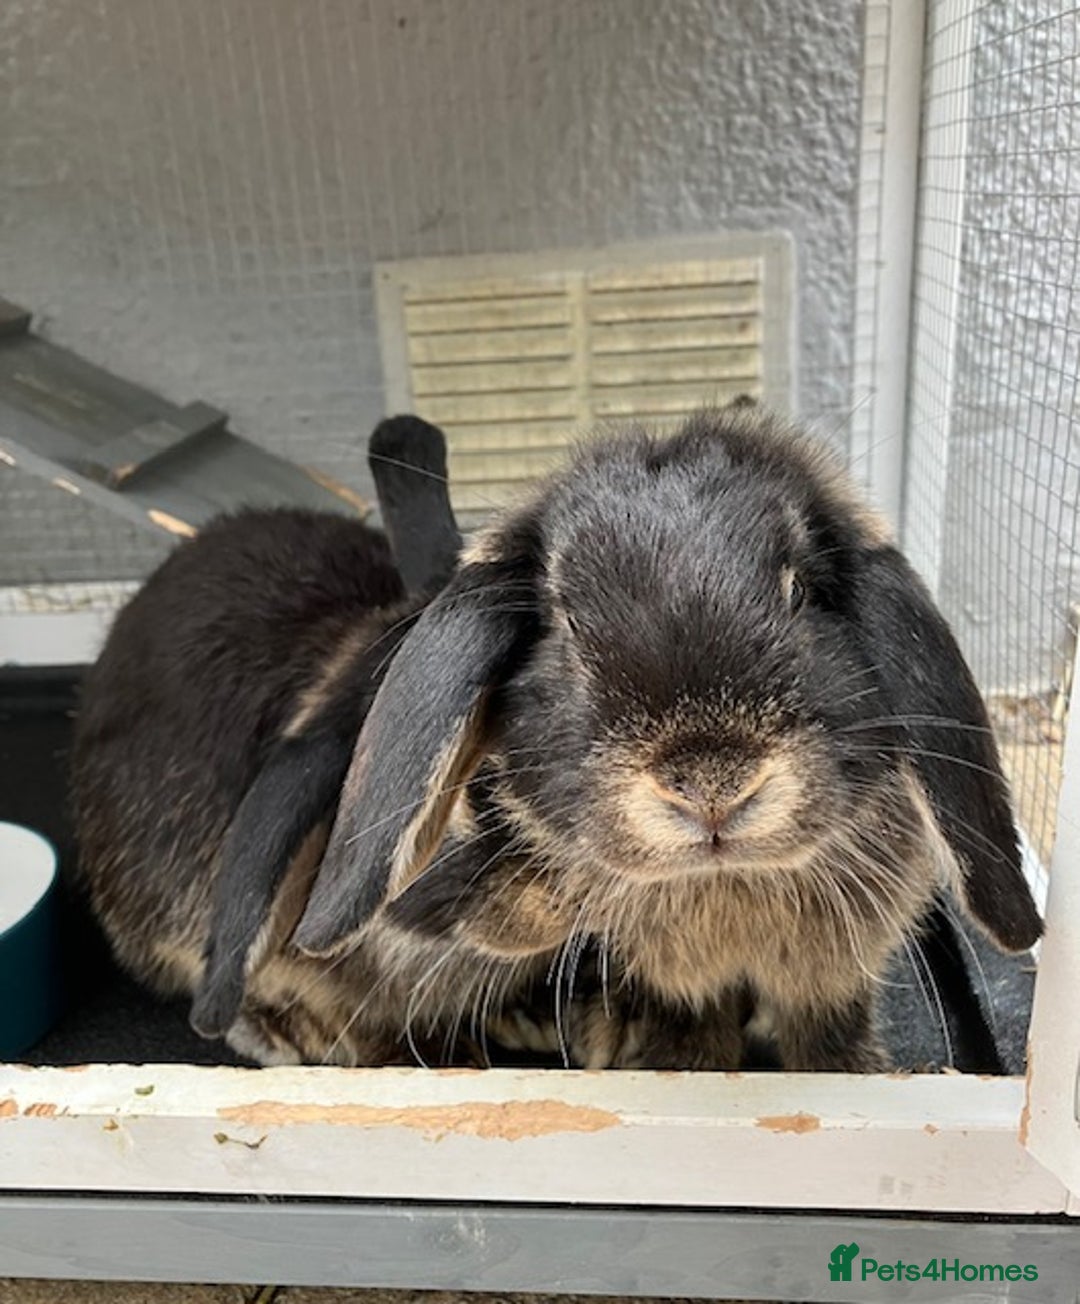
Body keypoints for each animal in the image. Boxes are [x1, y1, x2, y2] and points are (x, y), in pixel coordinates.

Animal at [286, 403, 1042, 1072]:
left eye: (799, 591)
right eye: (565, 621)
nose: (712, 786)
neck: (727, 885)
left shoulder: (828, 977)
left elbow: (826, 1035)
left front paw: (849, 1074)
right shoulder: (674, 985)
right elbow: (692, 1033)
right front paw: (681, 1067)